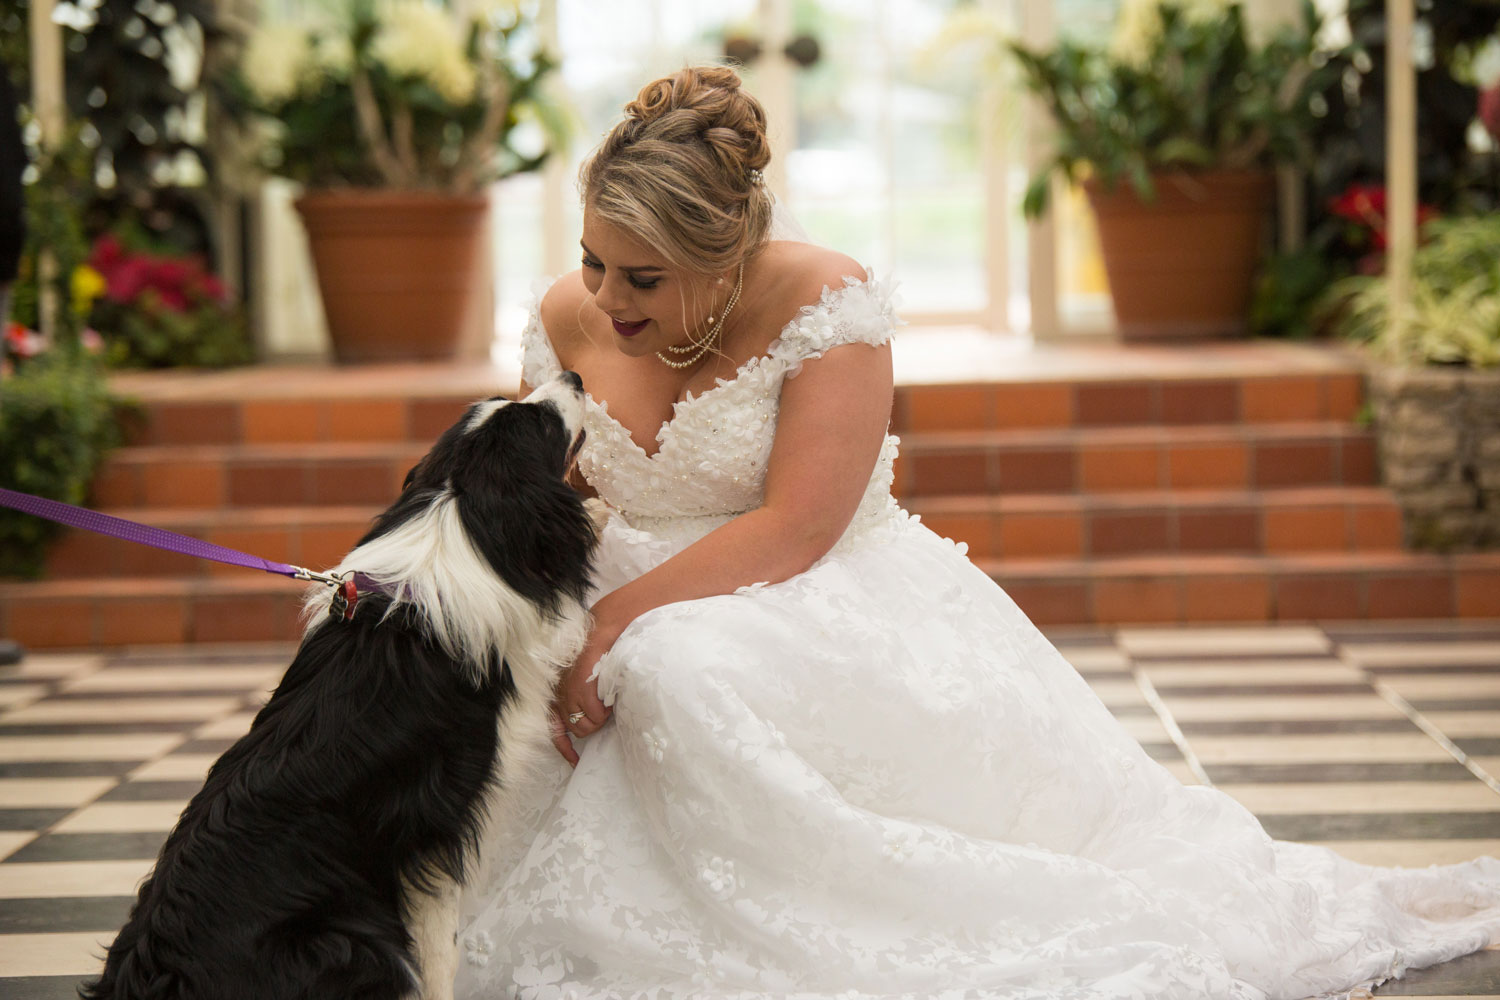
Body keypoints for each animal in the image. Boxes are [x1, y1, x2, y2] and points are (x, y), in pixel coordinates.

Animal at [82, 373, 594, 1000]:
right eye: (540, 423)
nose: (574, 376)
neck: (453, 515)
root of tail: (155, 974)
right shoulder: (432, 823)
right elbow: (440, 949)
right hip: (353, 940)